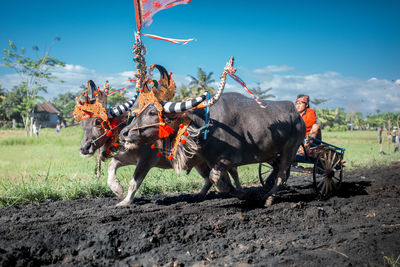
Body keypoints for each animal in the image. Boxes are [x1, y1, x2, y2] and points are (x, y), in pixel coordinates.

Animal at [120, 91, 304, 206]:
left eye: (152, 113)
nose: (124, 133)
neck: (206, 127)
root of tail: (296, 114)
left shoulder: (228, 160)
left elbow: (215, 178)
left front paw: (239, 192)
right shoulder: (210, 160)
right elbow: (222, 180)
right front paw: (241, 193)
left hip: (290, 150)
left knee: (282, 175)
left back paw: (269, 197)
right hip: (272, 153)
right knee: (279, 171)